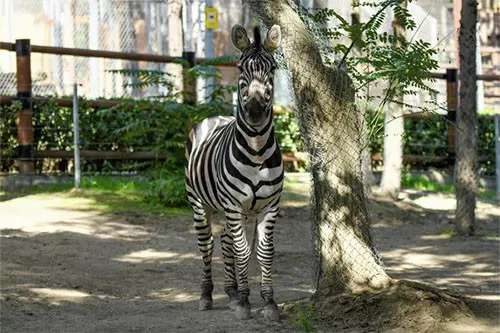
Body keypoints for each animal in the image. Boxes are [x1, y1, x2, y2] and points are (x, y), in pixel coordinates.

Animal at [186, 24, 284, 320]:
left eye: (272, 68)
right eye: (241, 68)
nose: (254, 111)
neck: (256, 150)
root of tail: (215, 116)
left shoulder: (270, 206)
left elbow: (263, 251)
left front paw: (268, 302)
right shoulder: (233, 205)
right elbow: (243, 251)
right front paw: (244, 301)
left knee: (226, 241)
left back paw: (230, 292)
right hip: (199, 202)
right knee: (207, 244)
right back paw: (207, 295)